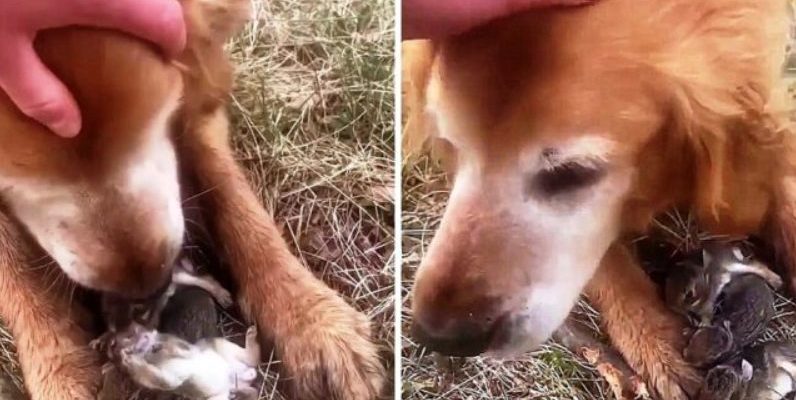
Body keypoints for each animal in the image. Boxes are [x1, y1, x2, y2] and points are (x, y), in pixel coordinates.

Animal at [107, 322, 258, 400]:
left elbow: (181, 350)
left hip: (221, 345)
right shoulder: (166, 380)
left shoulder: (183, 347)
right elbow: (162, 380)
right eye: (113, 344)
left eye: (134, 330)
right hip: (218, 396)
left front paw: (160, 347)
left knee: (253, 359)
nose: (135, 330)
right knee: (252, 381)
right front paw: (128, 359)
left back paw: (252, 332)